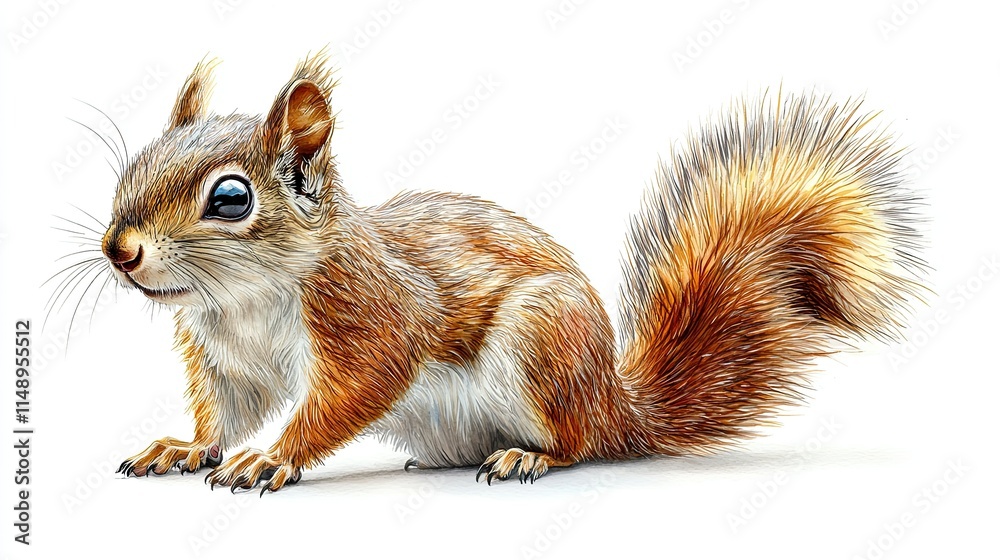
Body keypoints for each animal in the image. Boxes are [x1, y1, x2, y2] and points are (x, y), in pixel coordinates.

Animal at [104, 54, 925, 493]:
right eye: (133, 167)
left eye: (231, 199)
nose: (120, 249)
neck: (238, 299)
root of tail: (616, 403)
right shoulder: (222, 358)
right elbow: (224, 411)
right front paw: (186, 447)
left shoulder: (367, 313)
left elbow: (353, 389)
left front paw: (272, 457)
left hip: (540, 344)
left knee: (581, 444)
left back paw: (529, 455)